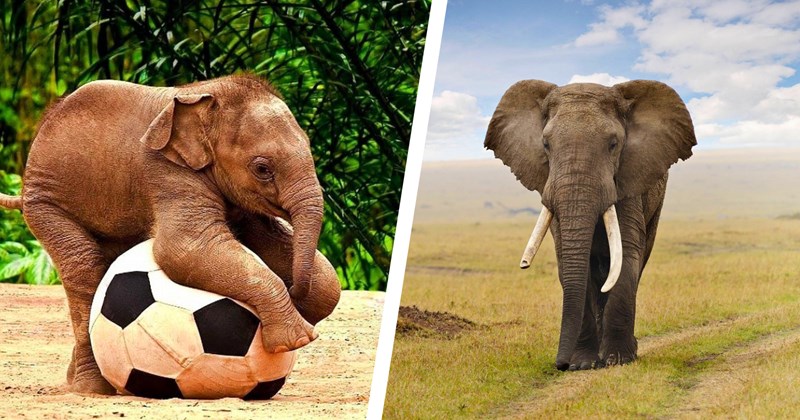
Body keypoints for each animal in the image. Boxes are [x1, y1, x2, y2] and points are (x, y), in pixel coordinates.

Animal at [0, 74, 341, 394]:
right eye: (262, 169)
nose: (295, 289)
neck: (208, 95)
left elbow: (302, 265)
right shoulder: (166, 171)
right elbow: (183, 249)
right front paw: (297, 340)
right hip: (46, 204)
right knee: (85, 269)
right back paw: (92, 388)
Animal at [485, 80, 696, 371]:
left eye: (613, 144)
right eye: (546, 144)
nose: (560, 365)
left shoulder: (628, 181)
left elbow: (626, 256)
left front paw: (618, 360)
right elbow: (570, 263)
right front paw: (582, 364)